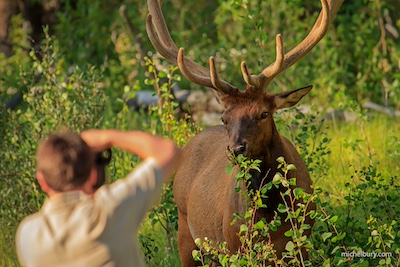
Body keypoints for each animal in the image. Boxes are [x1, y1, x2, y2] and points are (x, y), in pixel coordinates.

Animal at [147, 0, 344, 266]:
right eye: (224, 118)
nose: (236, 149)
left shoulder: (302, 243)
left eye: (263, 113)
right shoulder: (236, 245)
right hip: (186, 231)